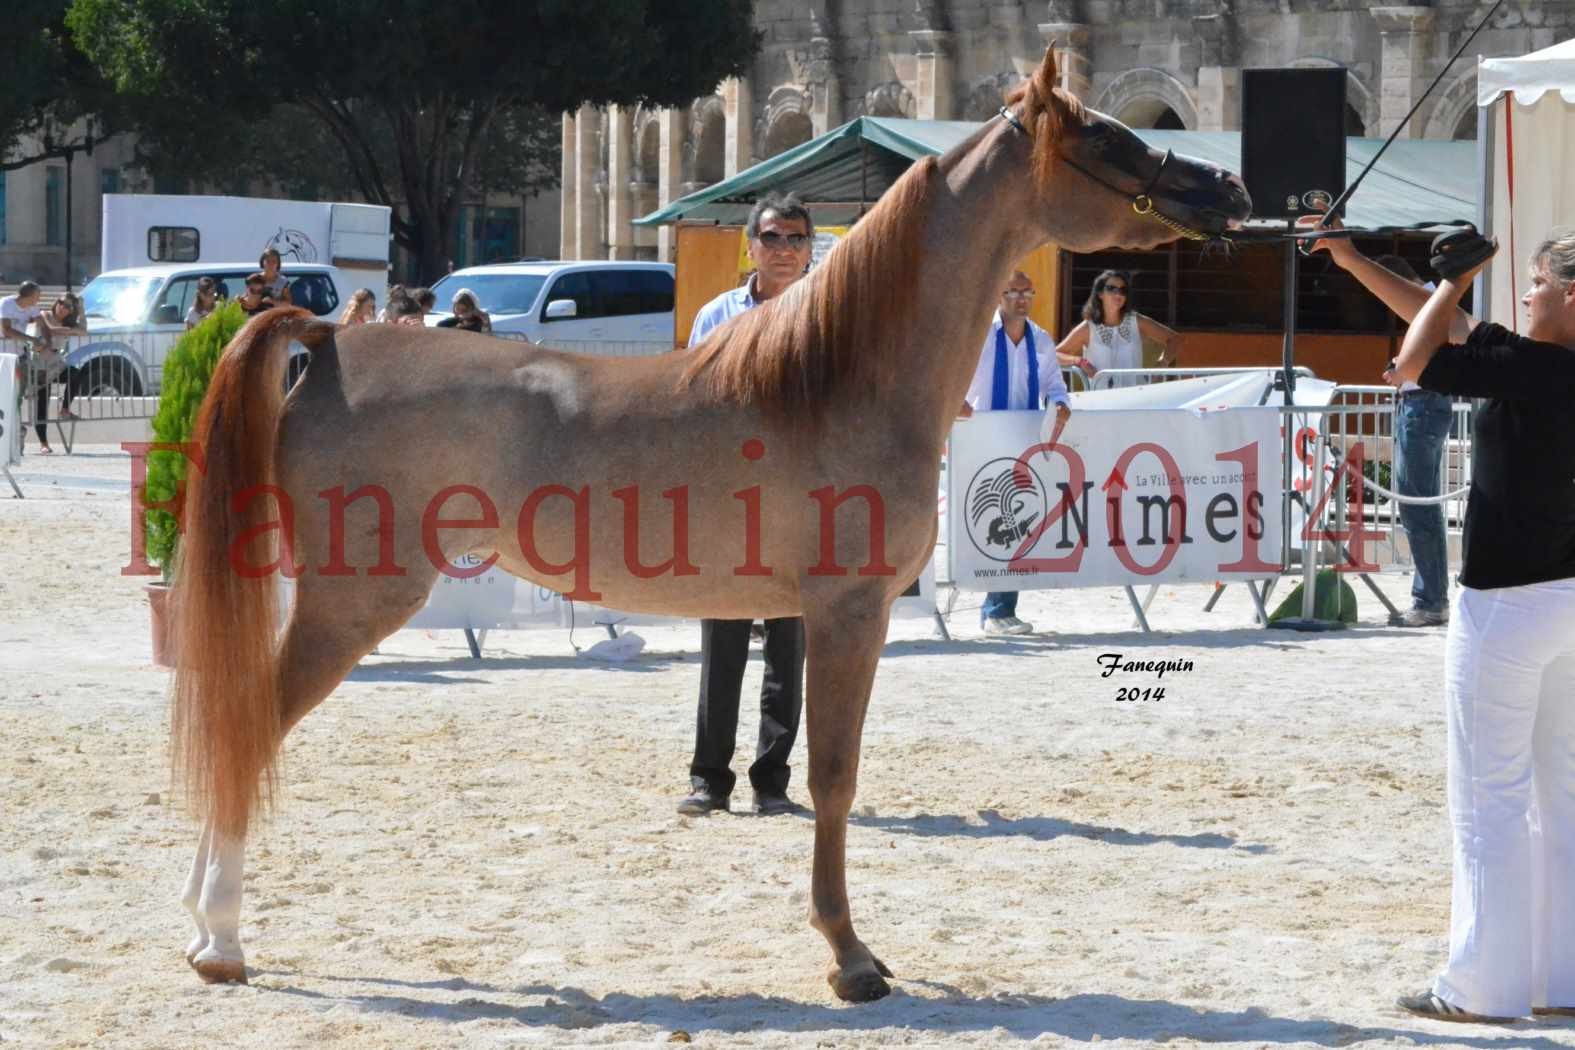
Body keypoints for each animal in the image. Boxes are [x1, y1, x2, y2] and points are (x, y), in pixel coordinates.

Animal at [172, 47, 1247, 1001]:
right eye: (1104, 137)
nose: (1227, 188)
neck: (833, 381)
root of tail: (327, 339)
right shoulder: (851, 615)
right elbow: (835, 776)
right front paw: (850, 958)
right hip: (352, 604)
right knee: (248, 727)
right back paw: (221, 939)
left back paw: (199, 918)